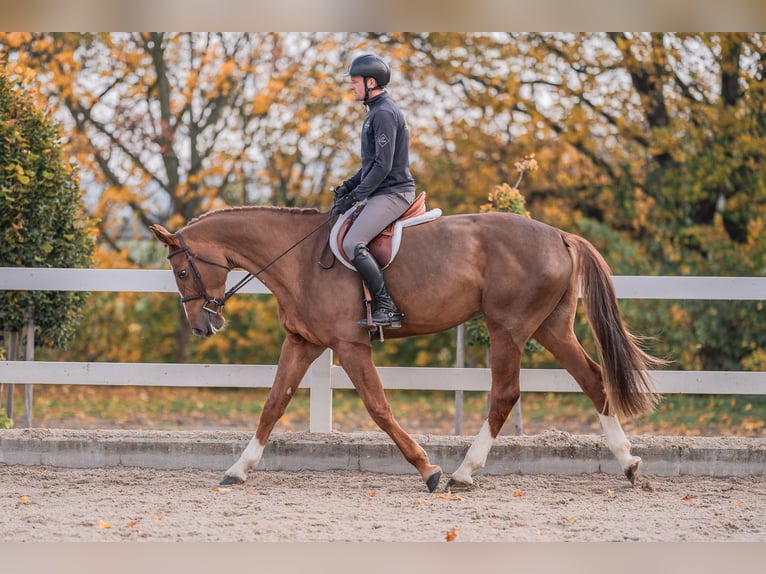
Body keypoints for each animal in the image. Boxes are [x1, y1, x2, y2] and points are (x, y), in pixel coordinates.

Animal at [150, 205, 662, 492]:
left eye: (181, 271)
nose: (203, 325)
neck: (298, 260)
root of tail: (560, 234)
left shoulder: (349, 344)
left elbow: (378, 407)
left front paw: (427, 470)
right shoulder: (303, 342)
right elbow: (273, 404)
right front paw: (238, 470)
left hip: (509, 329)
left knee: (505, 395)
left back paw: (461, 474)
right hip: (552, 328)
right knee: (594, 381)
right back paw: (629, 464)